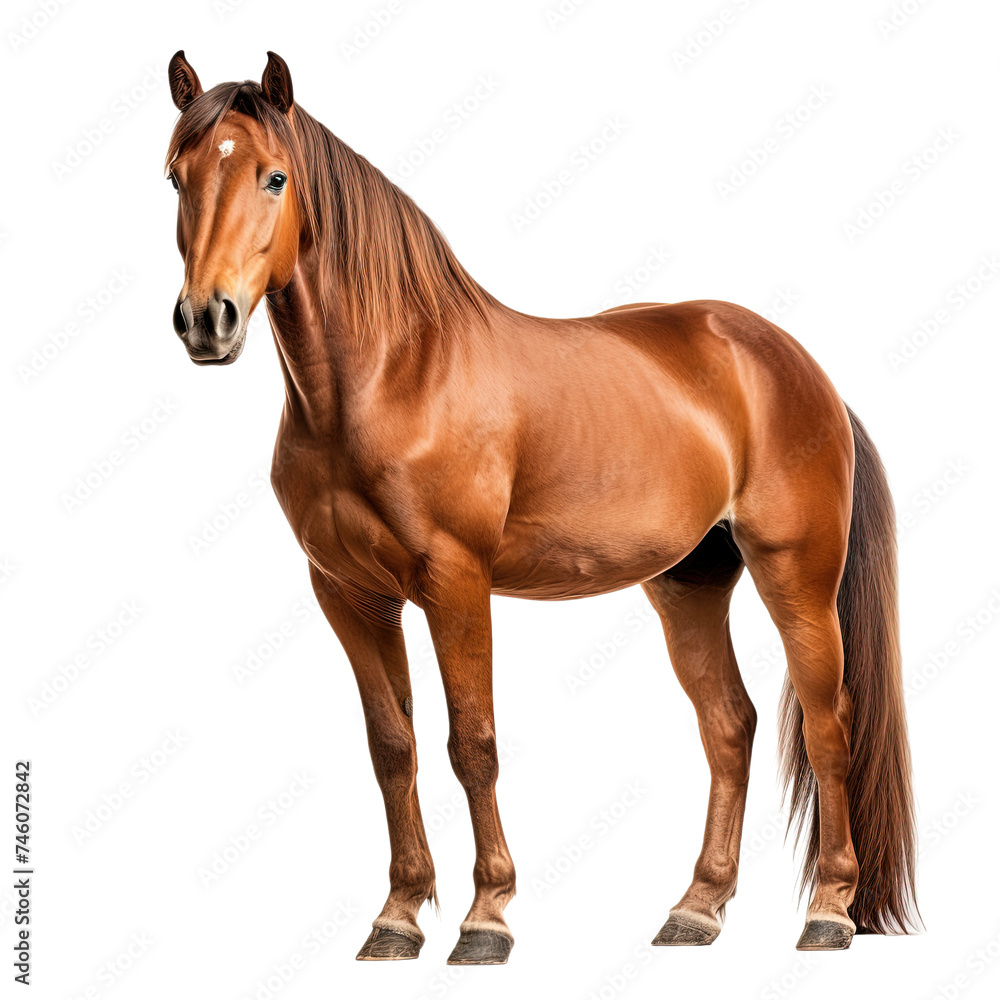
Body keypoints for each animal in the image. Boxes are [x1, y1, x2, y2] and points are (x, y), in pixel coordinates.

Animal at [164, 50, 919, 964]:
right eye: (175, 176)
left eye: (274, 176)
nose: (206, 321)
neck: (393, 374)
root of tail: (799, 368)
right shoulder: (350, 595)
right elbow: (393, 749)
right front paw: (397, 916)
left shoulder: (455, 584)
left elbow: (473, 743)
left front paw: (486, 919)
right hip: (689, 583)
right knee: (729, 726)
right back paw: (696, 909)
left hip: (797, 579)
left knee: (827, 725)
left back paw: (829, 912)